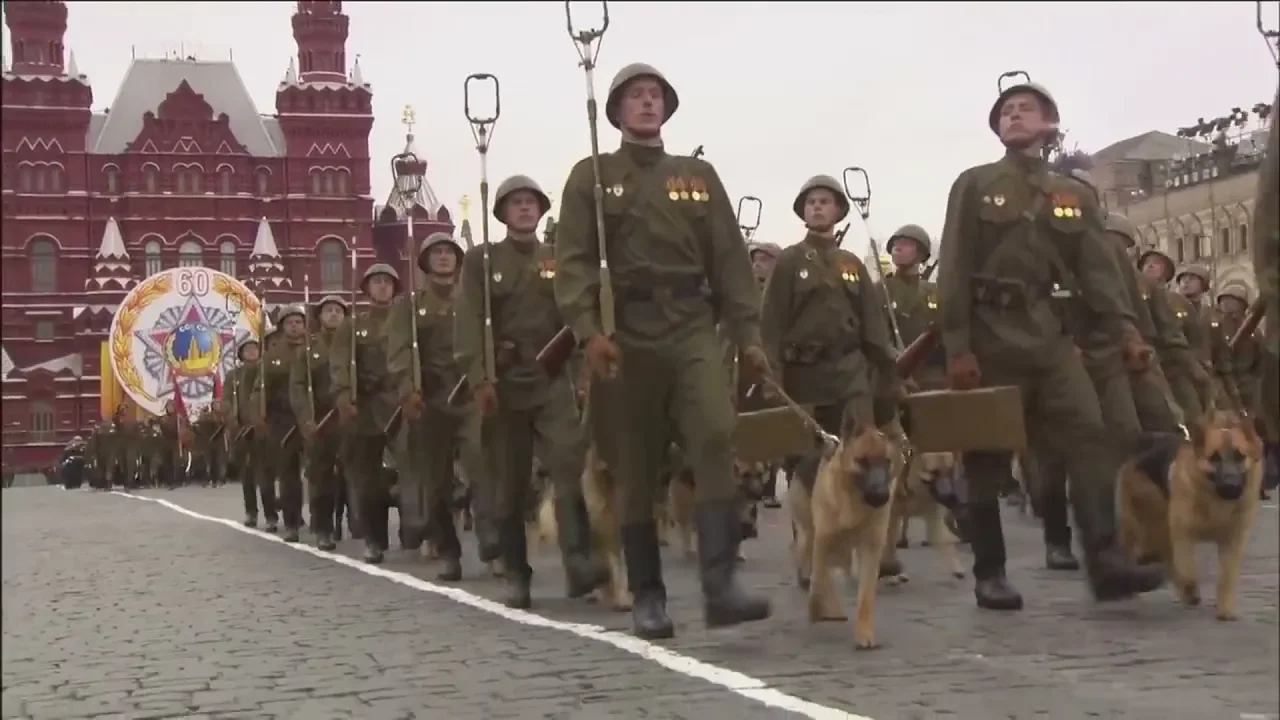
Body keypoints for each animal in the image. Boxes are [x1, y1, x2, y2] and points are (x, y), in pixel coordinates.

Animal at [790, 423, 903, 649]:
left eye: (887, 462)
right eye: (863, 461)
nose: (882, 496)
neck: (854, 501)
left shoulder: (870, 546)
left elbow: (866, 595)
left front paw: (865, 633)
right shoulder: (823, 540)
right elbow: (818, 580)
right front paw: (816, 609)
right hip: (809, 535)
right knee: (808, 561)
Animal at [880, 451, 966, 584]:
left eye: (950, 470)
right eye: (933, 472)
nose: (950, 498)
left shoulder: (933, 519)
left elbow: (946, 544)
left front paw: (956, 567)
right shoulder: (891, 519)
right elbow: (888, 548)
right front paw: (890, 574)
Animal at [1117, 412, 1264, 621]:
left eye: (1240, 456)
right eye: (1214, 458)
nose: (1231, 486)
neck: (1216, 503)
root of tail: (1136, 457)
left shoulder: (1233, 541)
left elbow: (1227, 577)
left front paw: (1225, 608)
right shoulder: (1183, 535)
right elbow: (1187, 569)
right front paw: (1190, 589)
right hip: (1156, 522)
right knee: (1165, 558)